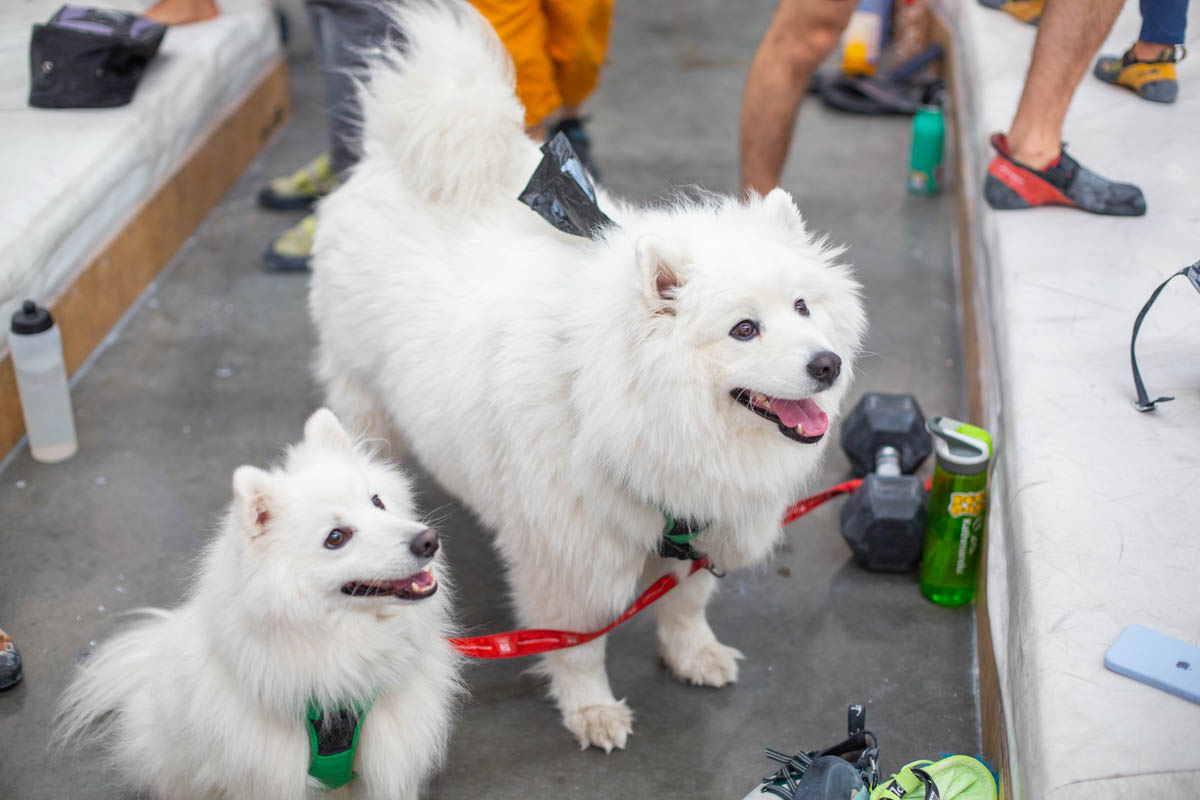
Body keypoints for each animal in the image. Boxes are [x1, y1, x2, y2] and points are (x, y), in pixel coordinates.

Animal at [309, 1, 866, 752]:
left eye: (804, 307)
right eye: (744, 329)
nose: (826, 363)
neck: (619, 404)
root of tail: (387, 160)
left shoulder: (703, 531)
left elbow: (686, 605)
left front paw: (693, 655)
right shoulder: (567, 559)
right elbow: (578, 647)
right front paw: (592, 710)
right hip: (363, 399)